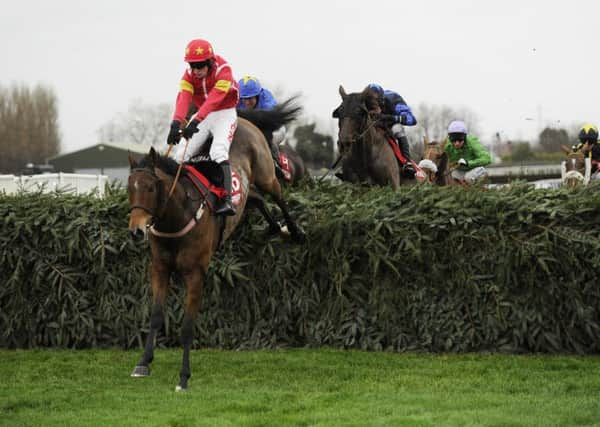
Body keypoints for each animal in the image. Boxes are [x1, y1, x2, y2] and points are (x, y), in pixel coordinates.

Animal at [126, 103, 304, 392]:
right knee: (256, 199)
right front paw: (143, 363)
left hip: (265, 173)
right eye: (130, 189)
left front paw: (183, 377)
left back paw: (294, 230)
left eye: (151, 188)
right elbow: (155, 316)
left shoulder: (196, 274)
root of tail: (244, 118)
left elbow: (188, 326)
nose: (136, 230)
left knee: (278, 195)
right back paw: (276, 228)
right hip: (246, 191)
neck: (177, 215)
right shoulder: (160, 269)